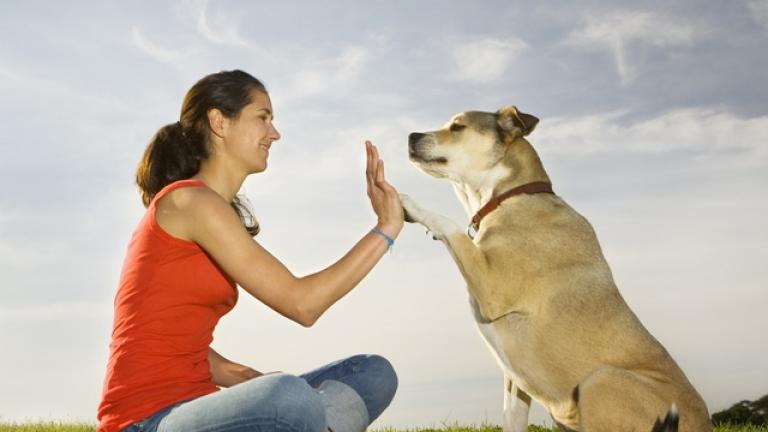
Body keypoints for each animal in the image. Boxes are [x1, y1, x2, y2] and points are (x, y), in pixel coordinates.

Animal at [400, 105, 712, 432]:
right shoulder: (514, 378)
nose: (411, 136)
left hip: (600, 380)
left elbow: (449, 225)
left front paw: (406, 202)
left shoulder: (492, 287)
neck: (511, 195)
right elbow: (511, 419)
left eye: (457, 126)